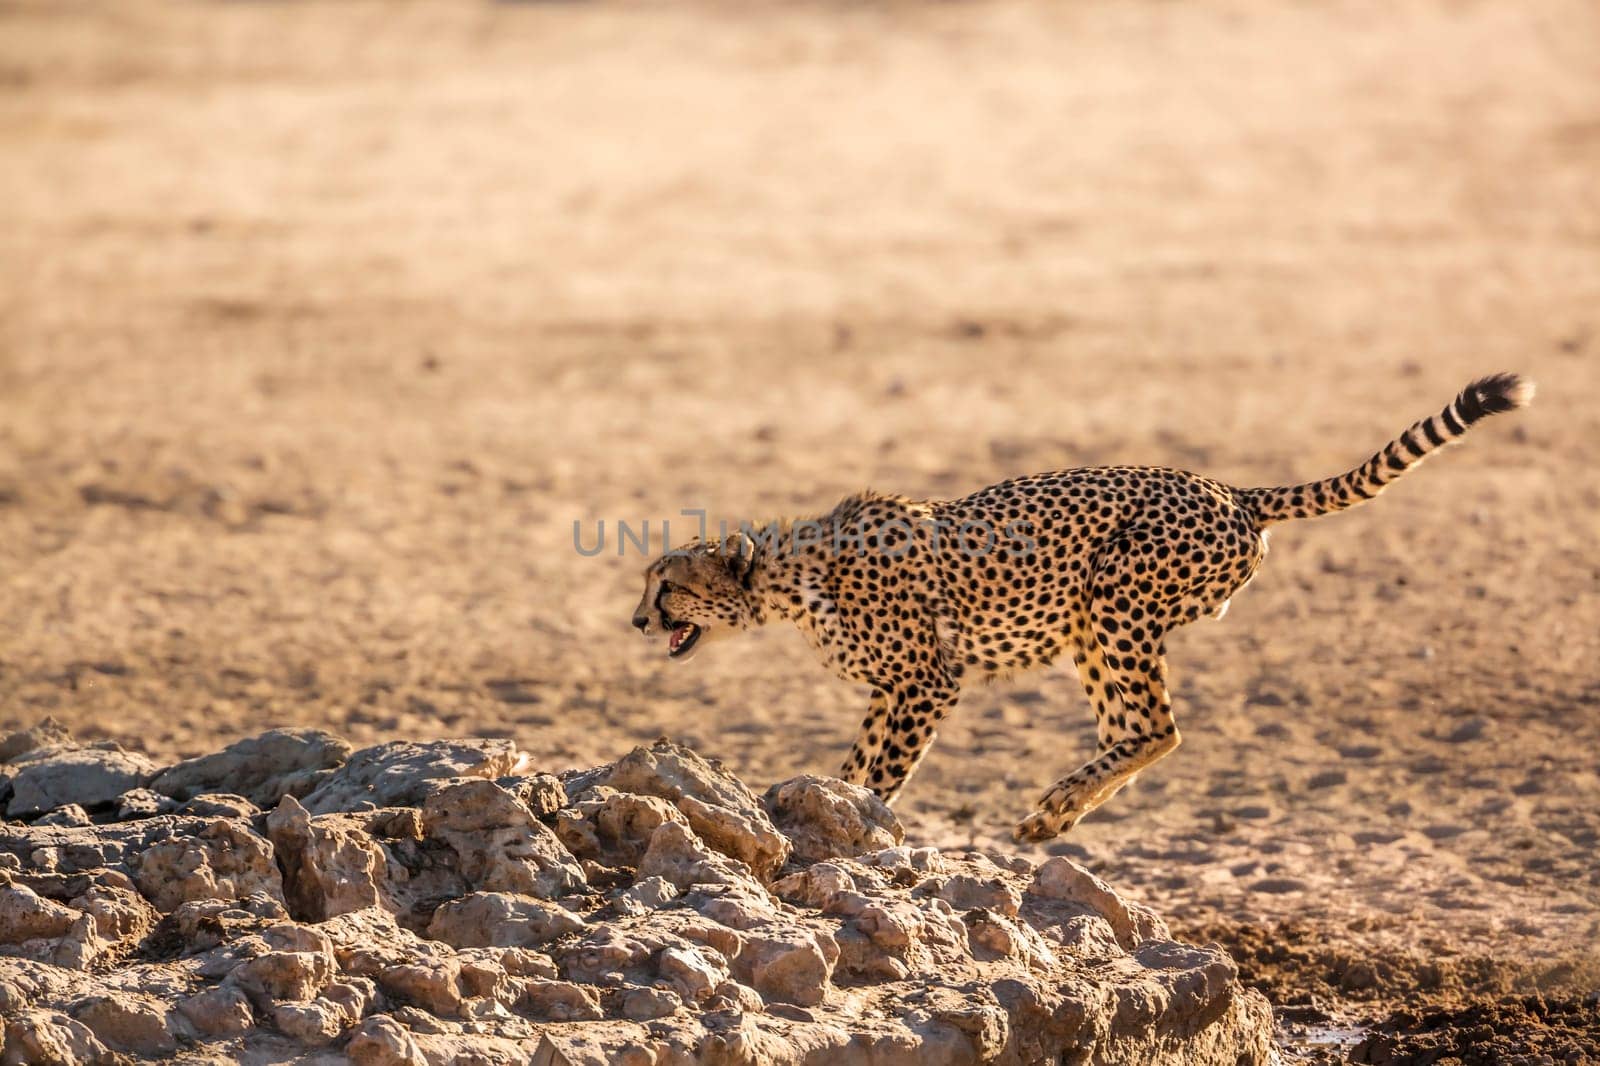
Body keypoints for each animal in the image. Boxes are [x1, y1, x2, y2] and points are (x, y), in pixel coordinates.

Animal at [630, 372, 1529, 838]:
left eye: (667, 584)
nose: (637, 620)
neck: (790, 579)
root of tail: (1226, 487)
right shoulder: (896, 688)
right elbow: (856, 761)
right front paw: (829, 803)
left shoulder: (930, 679)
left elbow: (886, 770)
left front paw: (861, 823)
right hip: (1092, 628)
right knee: (1134, 729)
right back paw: (1053, 817)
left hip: (1115, 598)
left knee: (1160, 727)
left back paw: (1058, 804)